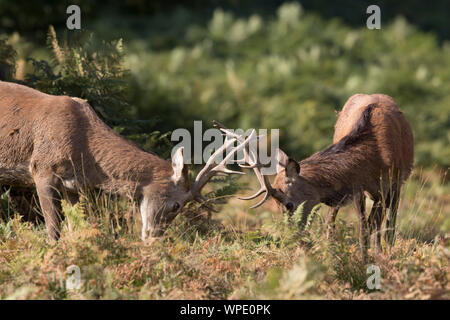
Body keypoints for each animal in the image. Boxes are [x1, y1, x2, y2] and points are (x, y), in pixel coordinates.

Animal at [0, 81, 253, 241]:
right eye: (177, 205)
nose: (154, 239)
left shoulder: (72, 187)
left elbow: (77, 228)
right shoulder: (41, 169)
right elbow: (54, 232)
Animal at [216, 94, 414, 258]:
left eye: (289, 204)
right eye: (275, 206)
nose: (291, 239)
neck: (372, 158)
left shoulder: (386, 186)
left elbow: (375, 227)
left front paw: (376, 258)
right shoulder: (358, 189)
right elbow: (363, 226)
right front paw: (363, 257)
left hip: (396, 186)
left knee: (388, 223)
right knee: (331, 222)